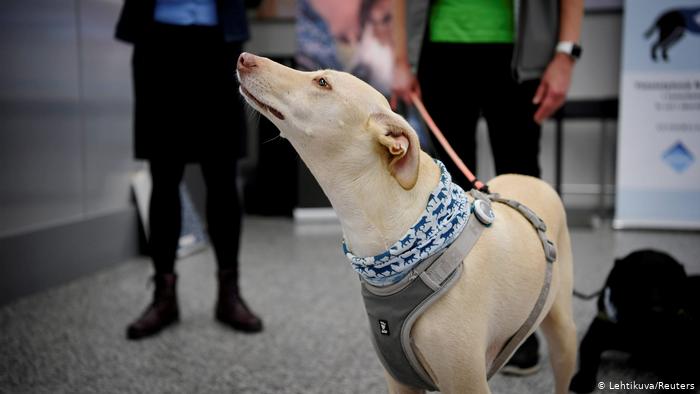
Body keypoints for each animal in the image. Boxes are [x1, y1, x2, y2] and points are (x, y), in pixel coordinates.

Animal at [238, 53, 576, 394]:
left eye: (322, 82)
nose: (244, 58)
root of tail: (533, 180)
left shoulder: (466, 381)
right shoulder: (399, 378)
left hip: (563, 334)